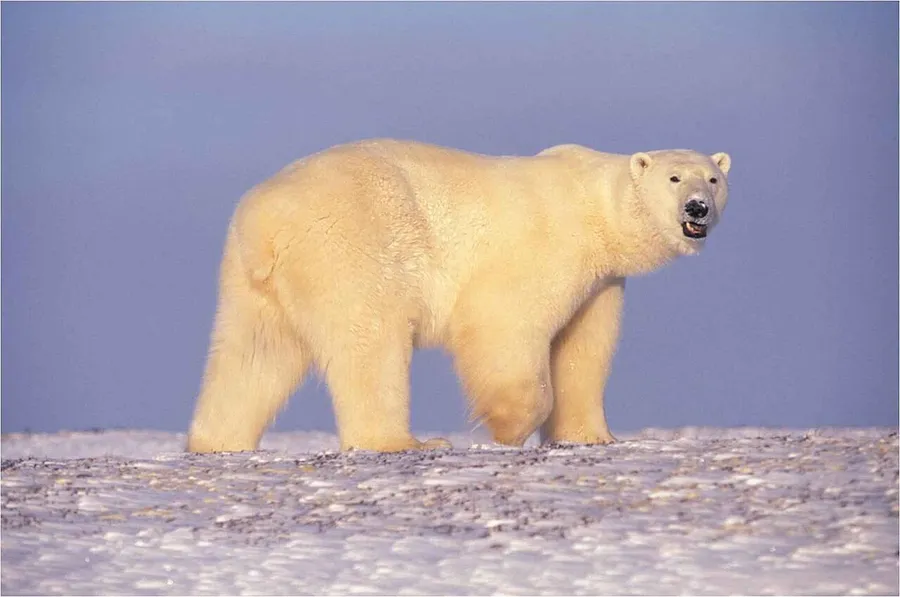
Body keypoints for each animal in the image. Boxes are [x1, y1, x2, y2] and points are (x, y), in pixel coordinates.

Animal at [187, 139, 731, 453]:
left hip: (252, 281)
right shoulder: (544, 246)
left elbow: (583, 349)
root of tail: (266, 220)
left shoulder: (600, 280)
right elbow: (505, 325)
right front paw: (508, 427)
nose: (697, 208)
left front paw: (592, 435)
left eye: (714, 178)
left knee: (253, 356)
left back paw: (217, 442)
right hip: (351, 244)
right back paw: (404, 442)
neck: (593, 209)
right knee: (371, 341)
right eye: (674, 178)